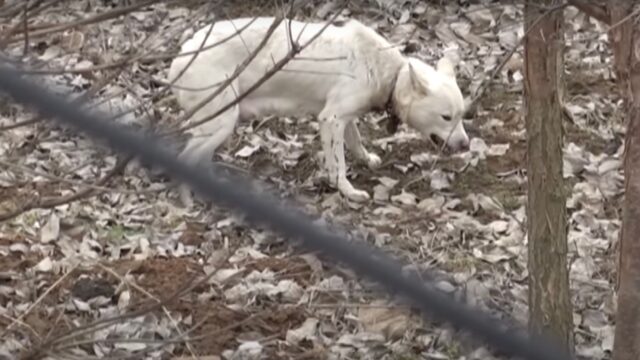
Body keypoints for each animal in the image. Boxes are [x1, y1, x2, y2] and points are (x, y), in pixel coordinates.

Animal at [170, 16, 470, 205]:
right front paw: (348, 192)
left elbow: (356, 142)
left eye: (461, 116)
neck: (389, 73)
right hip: (219, 122)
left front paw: (366, 159)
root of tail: (179, 58)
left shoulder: (343, 117)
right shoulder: (331, 119)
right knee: (185, 158)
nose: (466, 145)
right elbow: (339, 165)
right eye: (446, 117)